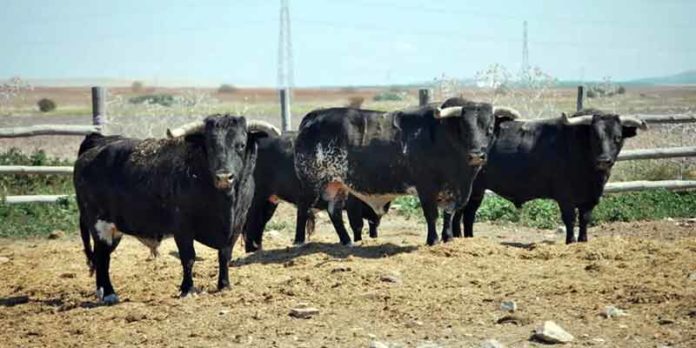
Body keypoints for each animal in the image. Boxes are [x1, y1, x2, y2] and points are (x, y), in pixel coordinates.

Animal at [72, 115, 276, 302]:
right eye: (210, 146)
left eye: (240, 145)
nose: (224, 177)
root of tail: (97, 144)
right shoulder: (183, 228)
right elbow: (188, 257)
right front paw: (188, 289)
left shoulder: (236, 227)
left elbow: (224, 255)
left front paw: (224, 285)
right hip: (100, 225)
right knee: (102, 258)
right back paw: (109, 294)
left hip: (114, 229)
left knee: (101, 256)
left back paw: (102, 292)